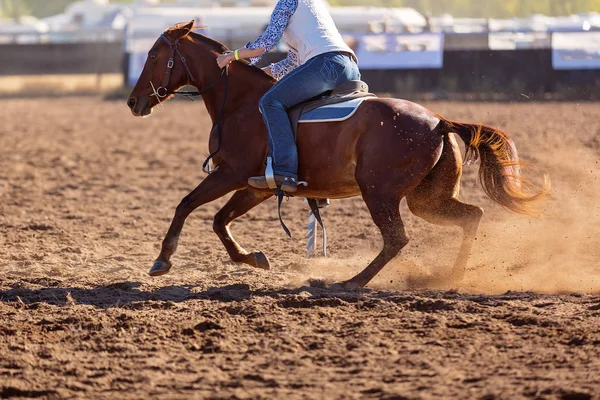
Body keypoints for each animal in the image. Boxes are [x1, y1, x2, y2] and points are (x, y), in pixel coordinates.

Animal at [126, 21, 548, 288]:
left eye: (153, 55)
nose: (133, 102)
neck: (242, 102)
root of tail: (438, 121)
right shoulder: (256, 186)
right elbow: (219, 221)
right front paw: (254, 258)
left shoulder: (230, 173)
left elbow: (187, 204)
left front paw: (163, 259)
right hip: (426, 198)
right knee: (471, 216)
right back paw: (451, 277)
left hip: (380, 192)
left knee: (396, 239)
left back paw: (351, 281)